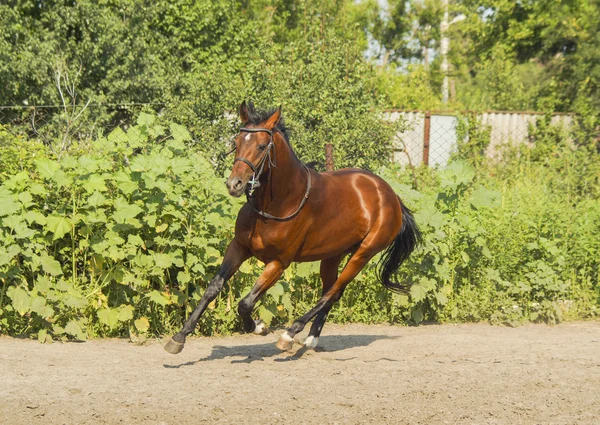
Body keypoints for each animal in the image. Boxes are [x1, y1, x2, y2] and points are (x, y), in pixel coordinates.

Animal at [162, 101, 420, 352]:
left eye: (262, 146)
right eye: (236, 142)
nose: (234, 184)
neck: (277, 205)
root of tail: (391, 196)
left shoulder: (279, 262)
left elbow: (245, 303)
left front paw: (258, 327)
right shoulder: (239, 248)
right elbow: (213, 288)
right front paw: (179, 337)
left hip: (363, 254)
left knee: (331, 293)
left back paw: (290, 334)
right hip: (332, 256)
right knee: (332, 292)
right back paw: (311, 339)